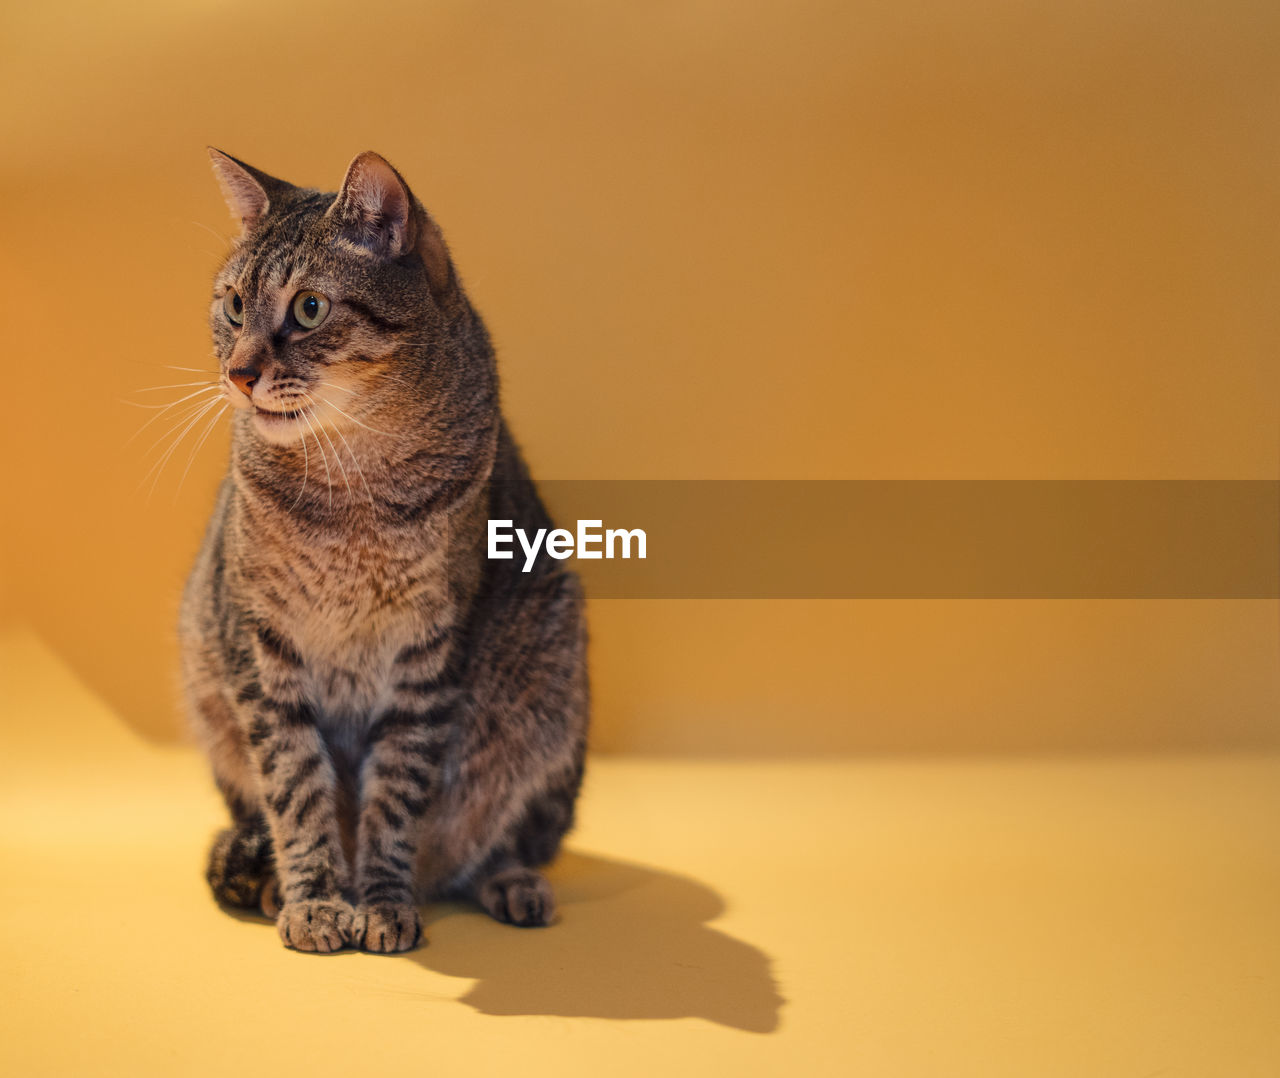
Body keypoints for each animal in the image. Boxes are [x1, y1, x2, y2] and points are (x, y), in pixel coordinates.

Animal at [180, 149, 588, 947]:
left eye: (309, 308)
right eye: (234, 307)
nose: (238, 373)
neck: (354, 489)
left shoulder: (426, 652)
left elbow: (396, 795)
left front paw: (382, 901)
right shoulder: (259, 642)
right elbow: (295, 787)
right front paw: (313, 899)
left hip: (553, 681)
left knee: (498, 840)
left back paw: (509, 883)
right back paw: (270, 886)